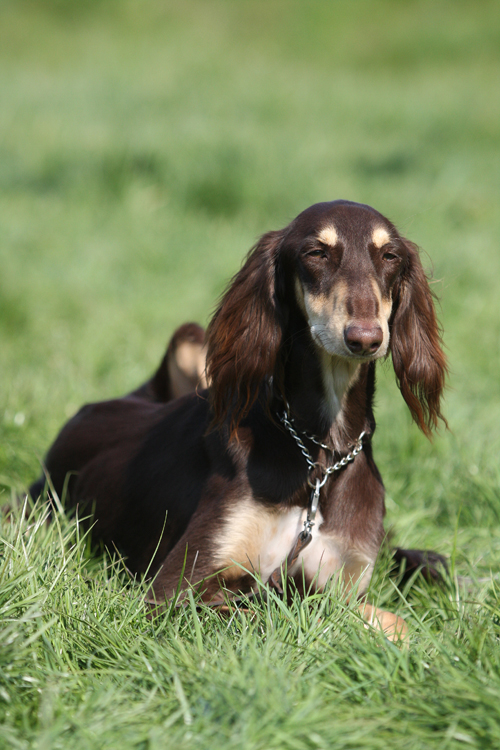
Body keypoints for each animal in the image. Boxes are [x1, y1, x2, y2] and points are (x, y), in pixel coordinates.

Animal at [29, 203, 448, 644]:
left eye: (390, 256)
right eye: (316, 253)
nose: (365, 338)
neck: (318, 455)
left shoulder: (343, 575)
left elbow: (384, 618)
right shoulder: (176, 590)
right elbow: (286, 615)